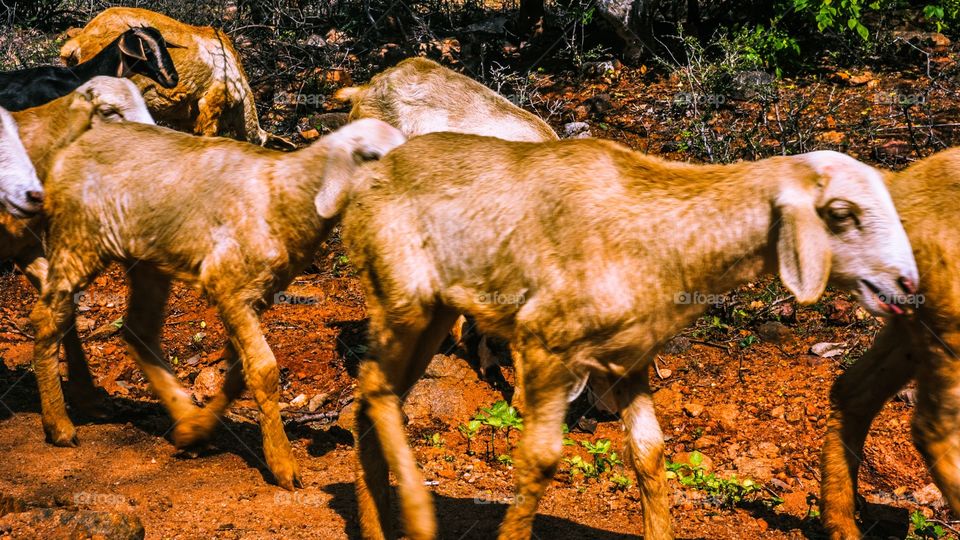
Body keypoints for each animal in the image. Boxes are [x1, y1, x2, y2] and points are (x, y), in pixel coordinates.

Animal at [30, 118, 405, 491]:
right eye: (376, 158)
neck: (283, 193)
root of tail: (73, 145)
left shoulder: (255, 294)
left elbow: (239, 372)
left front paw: (196, 432)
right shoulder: (229, 285)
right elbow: (264, 370)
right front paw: (283, 466)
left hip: (148, 259)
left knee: (137, 331)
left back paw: (179, 419)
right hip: (78, 237)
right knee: (48, 316)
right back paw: (59, 425)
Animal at [339, 133, 918, 540]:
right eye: (841, 214)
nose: (907, 284)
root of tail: (370, 176)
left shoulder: (628, 358)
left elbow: (650, 452)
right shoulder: (544, 342)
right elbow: (540, 458)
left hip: (432, 311)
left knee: (370, 401)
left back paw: (378, 525)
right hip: (402, 297)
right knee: (375, 390)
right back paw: (415, 516)